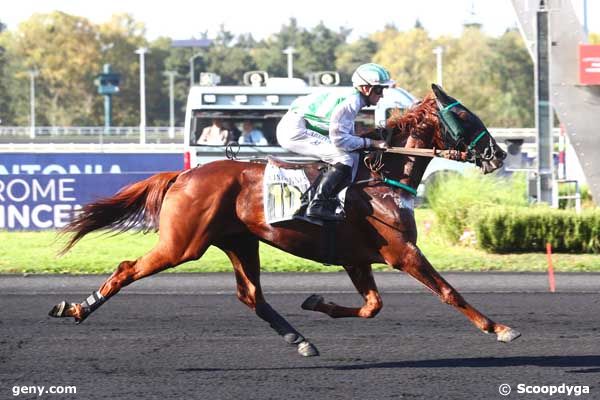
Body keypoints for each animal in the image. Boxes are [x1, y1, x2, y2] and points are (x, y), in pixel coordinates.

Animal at [49, 83, 520, 356]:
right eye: (464, 116)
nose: (498, 153)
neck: (382, 178)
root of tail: (183, 174)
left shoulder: (357, 258)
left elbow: (372, 306)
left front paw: (317, 302)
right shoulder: (402, 251)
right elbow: (449, 292)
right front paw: (499, 328)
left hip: (240, 242)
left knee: (251, 296)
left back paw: (301, 339)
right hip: (182, 244)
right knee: (128, 268)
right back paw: (78, 308)